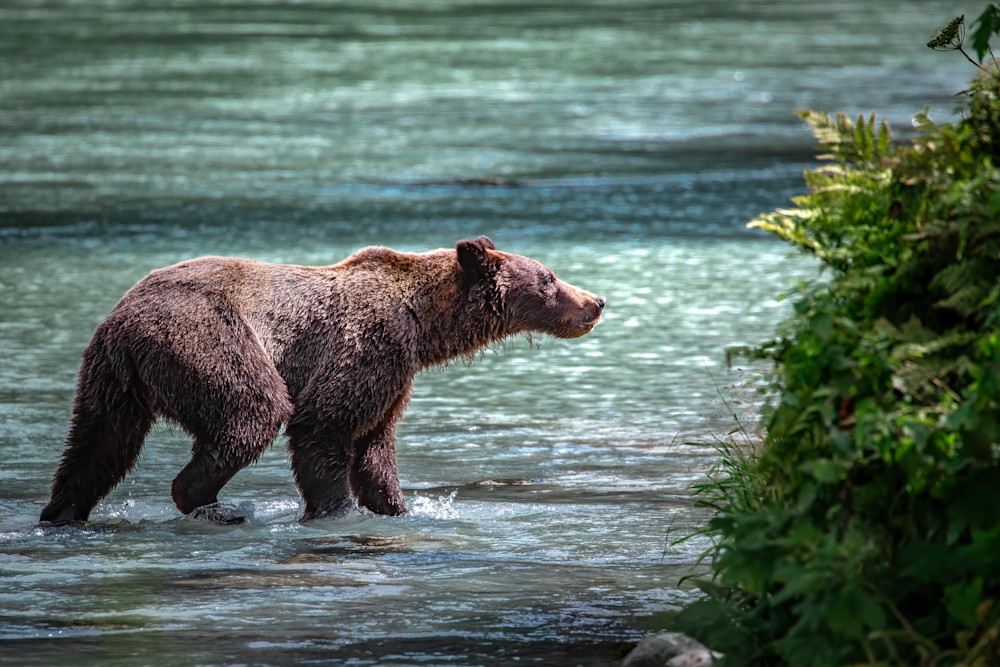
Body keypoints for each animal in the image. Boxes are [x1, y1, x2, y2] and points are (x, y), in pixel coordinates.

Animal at [39, 236, 605, 524]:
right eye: (549, 278)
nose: (596, 301)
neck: (422, 325)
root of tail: (123, 317)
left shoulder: (394, 378)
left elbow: (375, 446)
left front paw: (395, 506)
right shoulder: (366, 346)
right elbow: (324, 426)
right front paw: (333, 509)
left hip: (113, 375)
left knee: (99, 441)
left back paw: (62, 511)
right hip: (205, 336)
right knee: (253, 410)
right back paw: (208, 502)